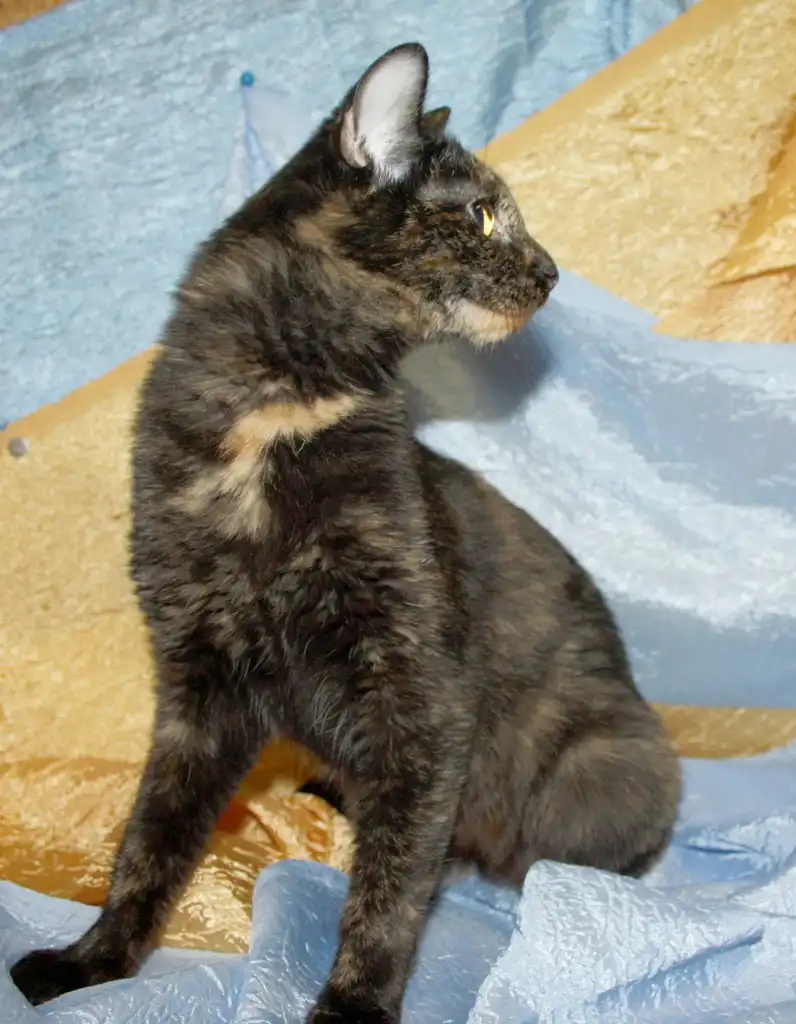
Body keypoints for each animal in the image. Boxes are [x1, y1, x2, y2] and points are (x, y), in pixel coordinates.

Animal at [12, 42, 680, 1024]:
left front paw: (356, 1003)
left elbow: (391, 889)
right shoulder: (196, 685)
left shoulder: (420, 692)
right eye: (481, 214)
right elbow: (148, 842)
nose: (552, 271)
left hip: (608, 766)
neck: (274, 422)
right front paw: (92, 959)